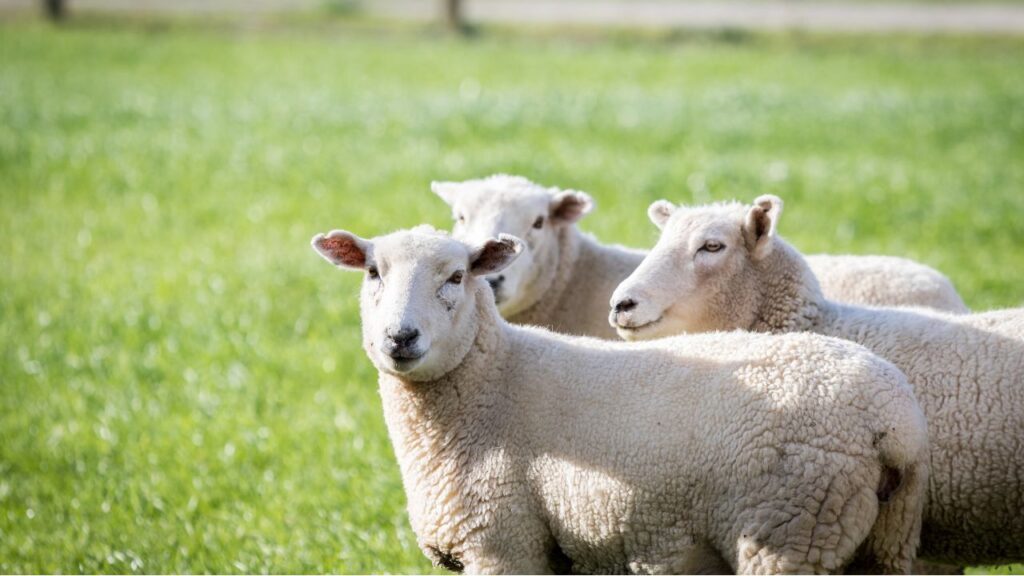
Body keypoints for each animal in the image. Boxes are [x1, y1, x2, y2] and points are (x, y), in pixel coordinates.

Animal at [311, 224, 930, 574]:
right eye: (372, 272)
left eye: (458, 276)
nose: (401, 337)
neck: (495, 379)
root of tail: (894, 419)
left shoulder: (504, 544)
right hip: (884, 542)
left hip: (789, 531)